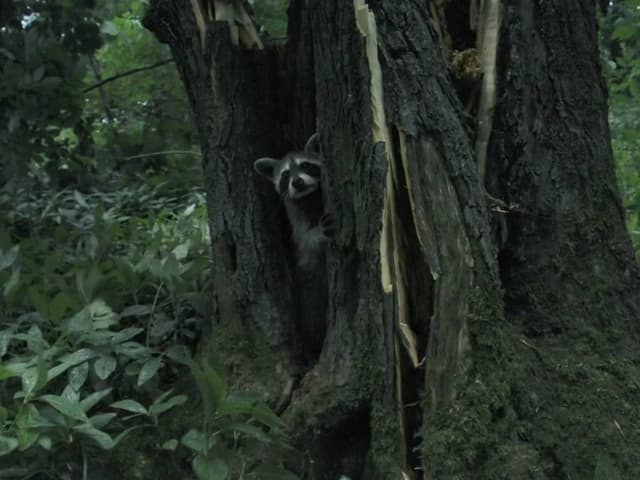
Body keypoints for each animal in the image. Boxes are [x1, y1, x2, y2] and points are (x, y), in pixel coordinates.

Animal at [255, 132, 336, 360]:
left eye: (305, 166)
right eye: (284, 175)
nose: (297, 182)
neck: (309, 197)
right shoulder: (296, 220)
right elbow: (305, 241)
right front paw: (318, 234)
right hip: (309, 286)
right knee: (312, 316)